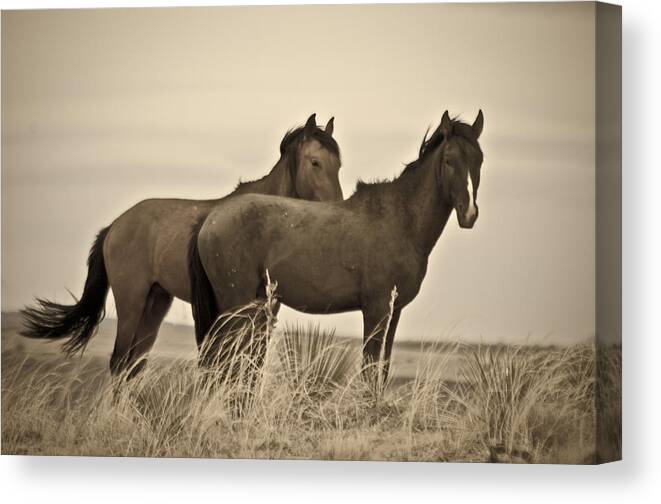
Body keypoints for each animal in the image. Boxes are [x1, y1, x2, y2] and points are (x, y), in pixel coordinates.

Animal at [22, 112, 342, 376]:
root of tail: (114, 227)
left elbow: (252, 364)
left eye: (338, 164)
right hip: (131, 301)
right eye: (315, 162)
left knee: (134, 365)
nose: (337, 209)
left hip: (155, 303)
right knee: (120, 362)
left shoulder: (264, 311)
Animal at [188, 110, 482, 378]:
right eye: (449, 160)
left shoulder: (394, 312)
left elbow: (382, 370)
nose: (469, 213)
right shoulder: (376, 310)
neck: (400, 219)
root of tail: (211, 217)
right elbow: (369, 370)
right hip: (237, 306)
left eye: (479, 160)